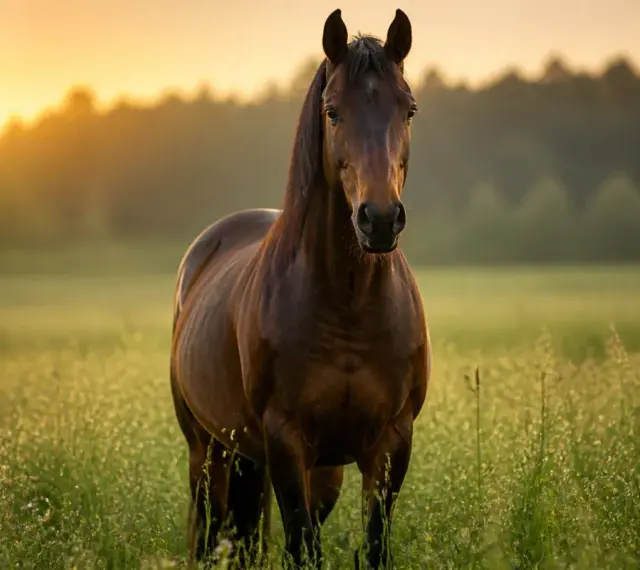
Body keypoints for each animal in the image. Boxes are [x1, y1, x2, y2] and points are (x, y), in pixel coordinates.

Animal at [170, 8, 431, 569]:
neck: (348, 305)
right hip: (209, 450)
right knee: (211, 532)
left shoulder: (391, 443)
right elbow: (302, 546)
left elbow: (372, 546)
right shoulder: (286, 441)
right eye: (332, 112)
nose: (379, 219)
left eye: (410, 109)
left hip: (303, 466)